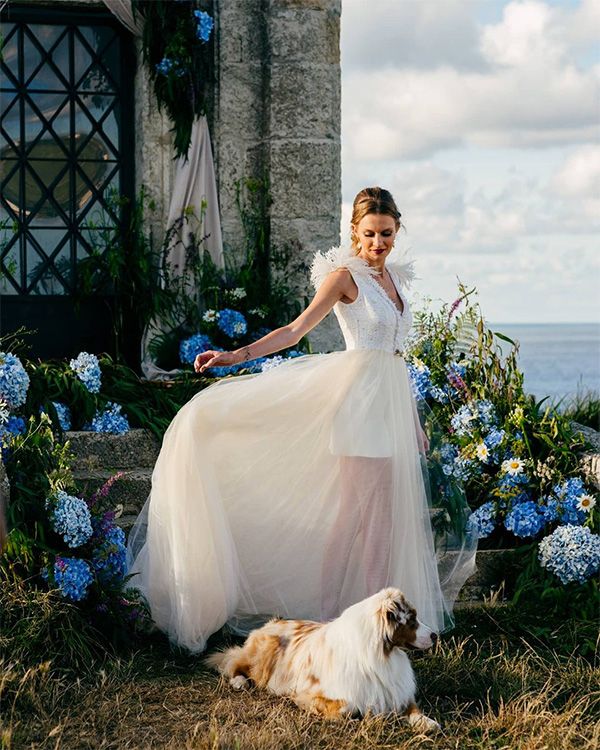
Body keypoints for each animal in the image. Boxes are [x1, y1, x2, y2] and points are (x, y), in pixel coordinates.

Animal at [206, 588, 440, 736]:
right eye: (412, 619)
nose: (435, 635)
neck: (382, 654)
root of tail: (272, 622)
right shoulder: (313, 693)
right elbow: (347, 707)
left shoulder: (396, 692)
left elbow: (415, 710)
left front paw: (428, 723)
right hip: (264, 655)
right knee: (232, 662)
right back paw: (239, 682)